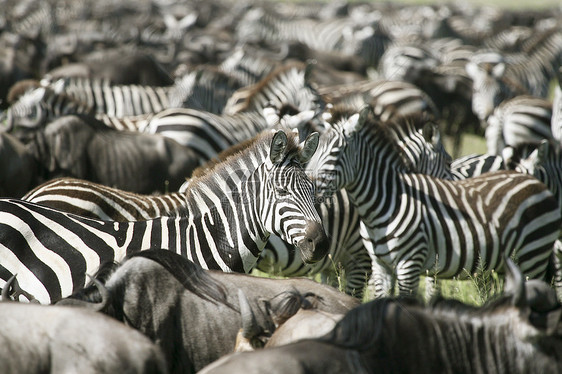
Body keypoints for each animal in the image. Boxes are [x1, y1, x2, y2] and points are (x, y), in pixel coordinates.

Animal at [306, 106, 560, 298]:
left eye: (336, 152)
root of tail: (535, 182)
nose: (308, 185)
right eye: (316, 150)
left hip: (532, 255)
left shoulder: (409, 264)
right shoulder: (381, 266)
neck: (383, 203)